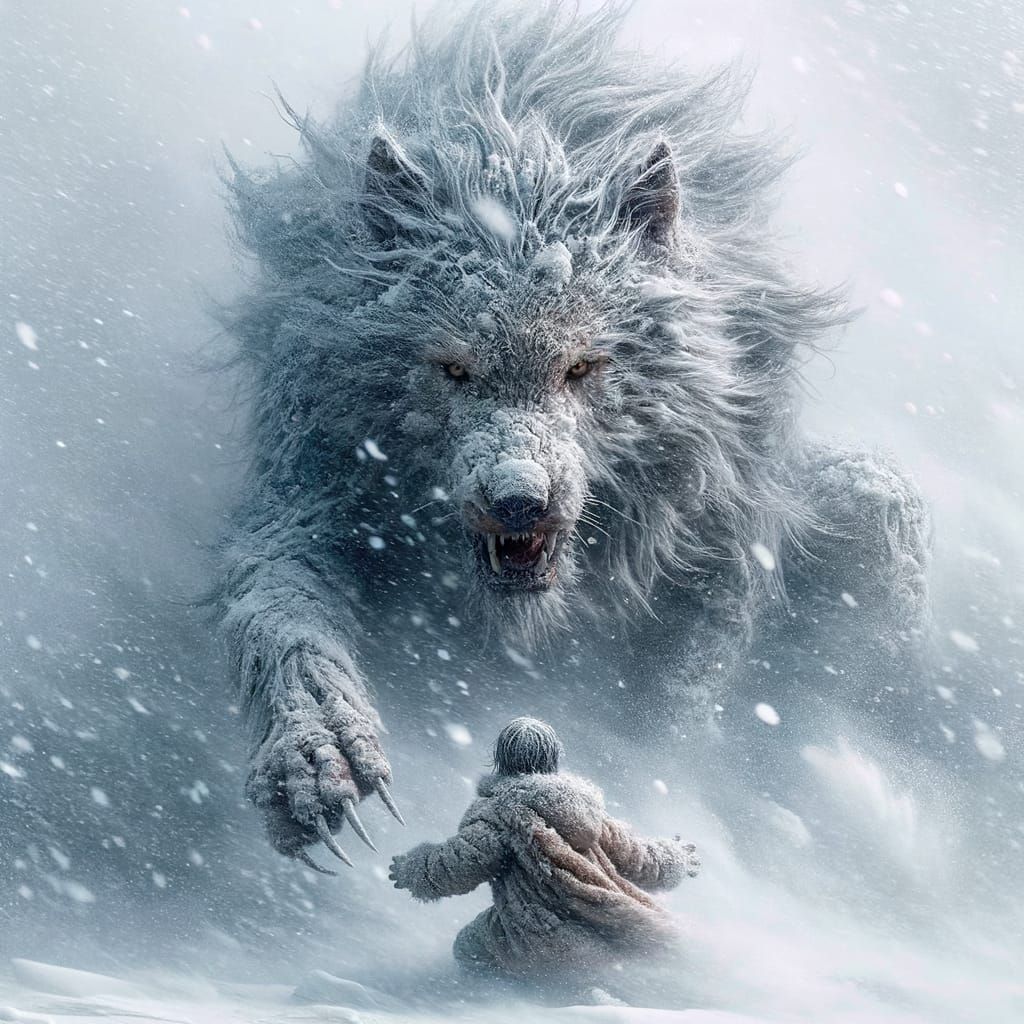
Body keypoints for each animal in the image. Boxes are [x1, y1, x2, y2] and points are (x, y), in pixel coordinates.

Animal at [217, 3, 930, 869]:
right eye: (453, 368)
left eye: (583, 366)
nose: (519, 499)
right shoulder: (310, 479)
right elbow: (279, 605)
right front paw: (319, 754)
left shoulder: (725, 521)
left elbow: (681, 697)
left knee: (878, 507)